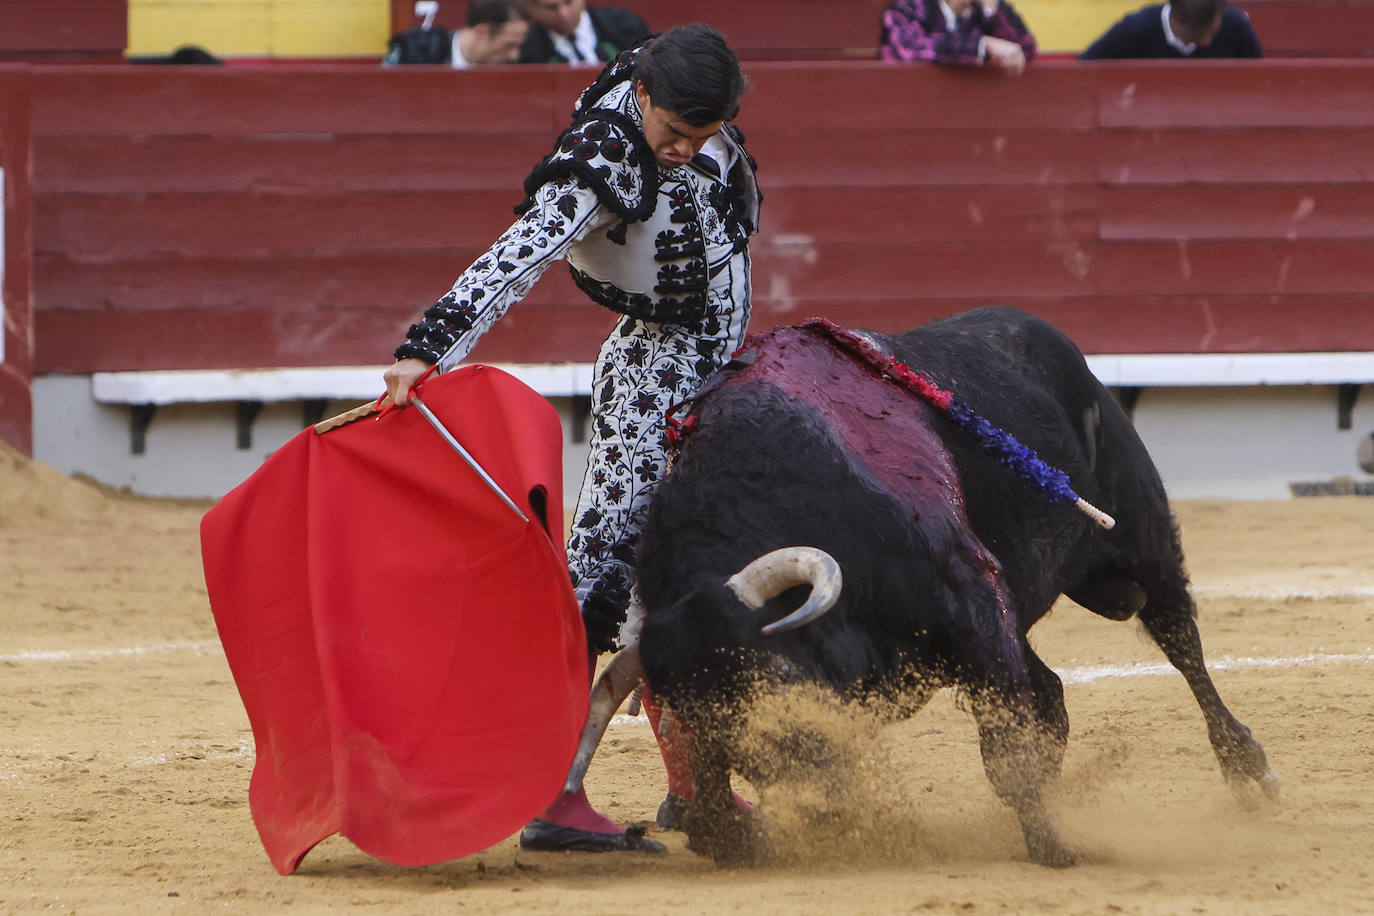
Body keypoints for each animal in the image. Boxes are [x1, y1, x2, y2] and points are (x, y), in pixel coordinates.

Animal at [579, 306, 1275, 867]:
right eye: (700, 714)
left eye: (777, 673)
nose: (818, 786)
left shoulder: (971, 601)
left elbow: (1006, 753)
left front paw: (1055, 849)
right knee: (1053, 689)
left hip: (1141, 538)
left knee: (1180, 641)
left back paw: (1249, 769)